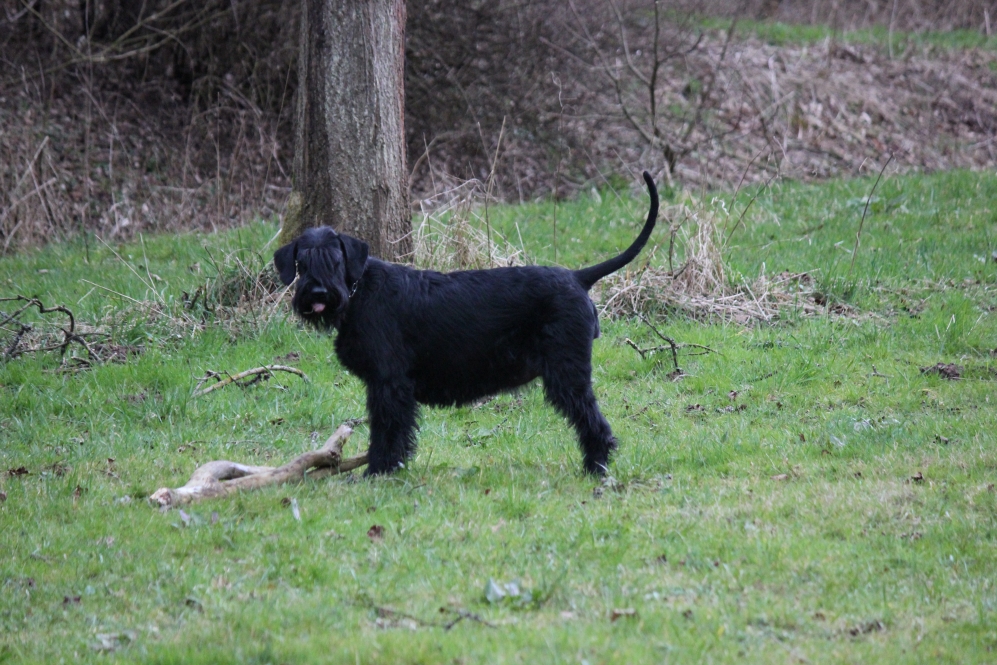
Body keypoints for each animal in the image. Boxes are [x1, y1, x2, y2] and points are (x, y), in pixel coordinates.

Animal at [276, 169, 656, 474]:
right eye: (302, 262)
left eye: (336, 259)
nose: (319, 293)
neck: (358, 292)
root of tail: (577, 277)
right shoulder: (383, 384)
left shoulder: (389, 383)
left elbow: (388, 429)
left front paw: (380, 471)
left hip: (567, 374)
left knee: (593, 421)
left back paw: (596, 468)